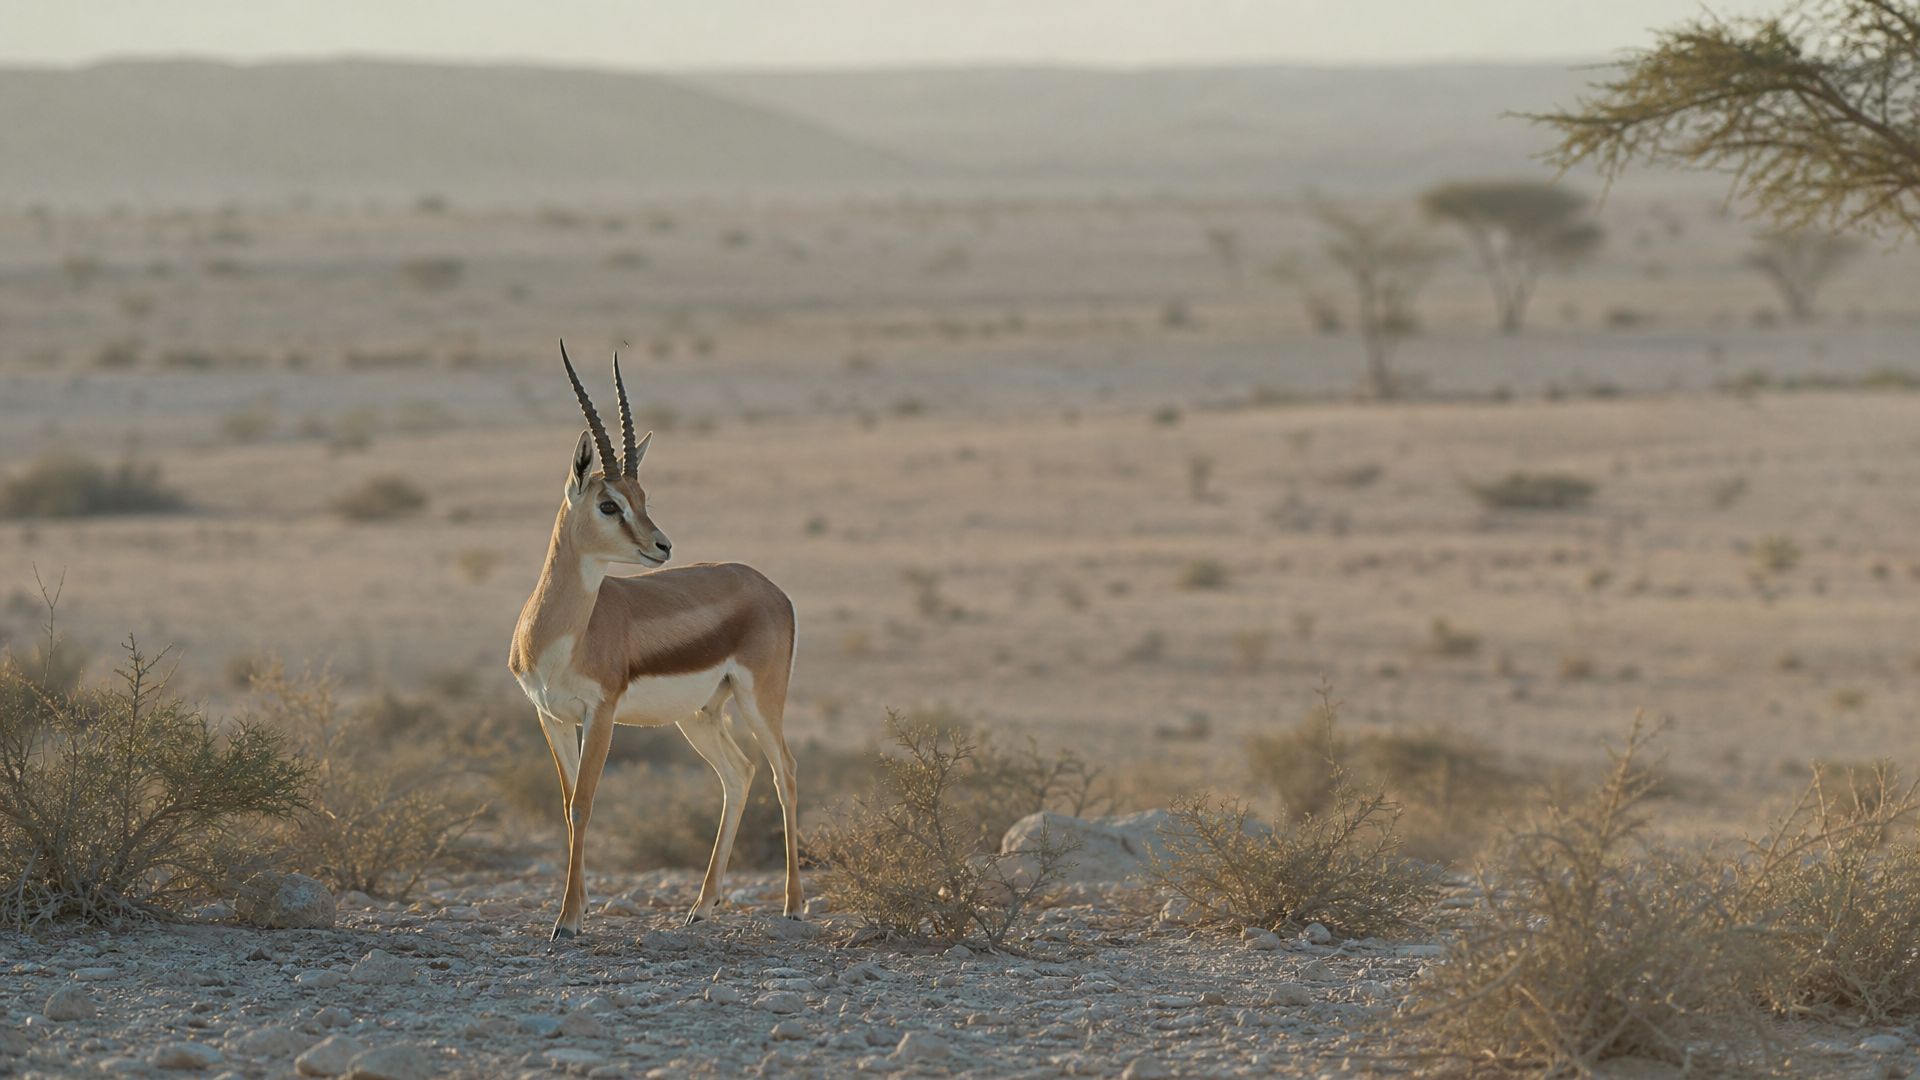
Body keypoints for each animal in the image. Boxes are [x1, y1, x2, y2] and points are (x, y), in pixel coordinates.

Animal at [508, 343, 801, 939]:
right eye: (609, 503)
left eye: (642, 495)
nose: (663, 545)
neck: (561, 636)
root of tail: (772, 589)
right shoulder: (549, 715)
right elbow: (569, 805)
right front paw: (579, 908)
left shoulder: (600, 713)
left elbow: (586, 803)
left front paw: (567, 921)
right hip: (701, 715)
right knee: (740, 774)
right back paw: (701, 906)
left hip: (759, 701)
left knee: (784, 772)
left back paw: (793, 905)